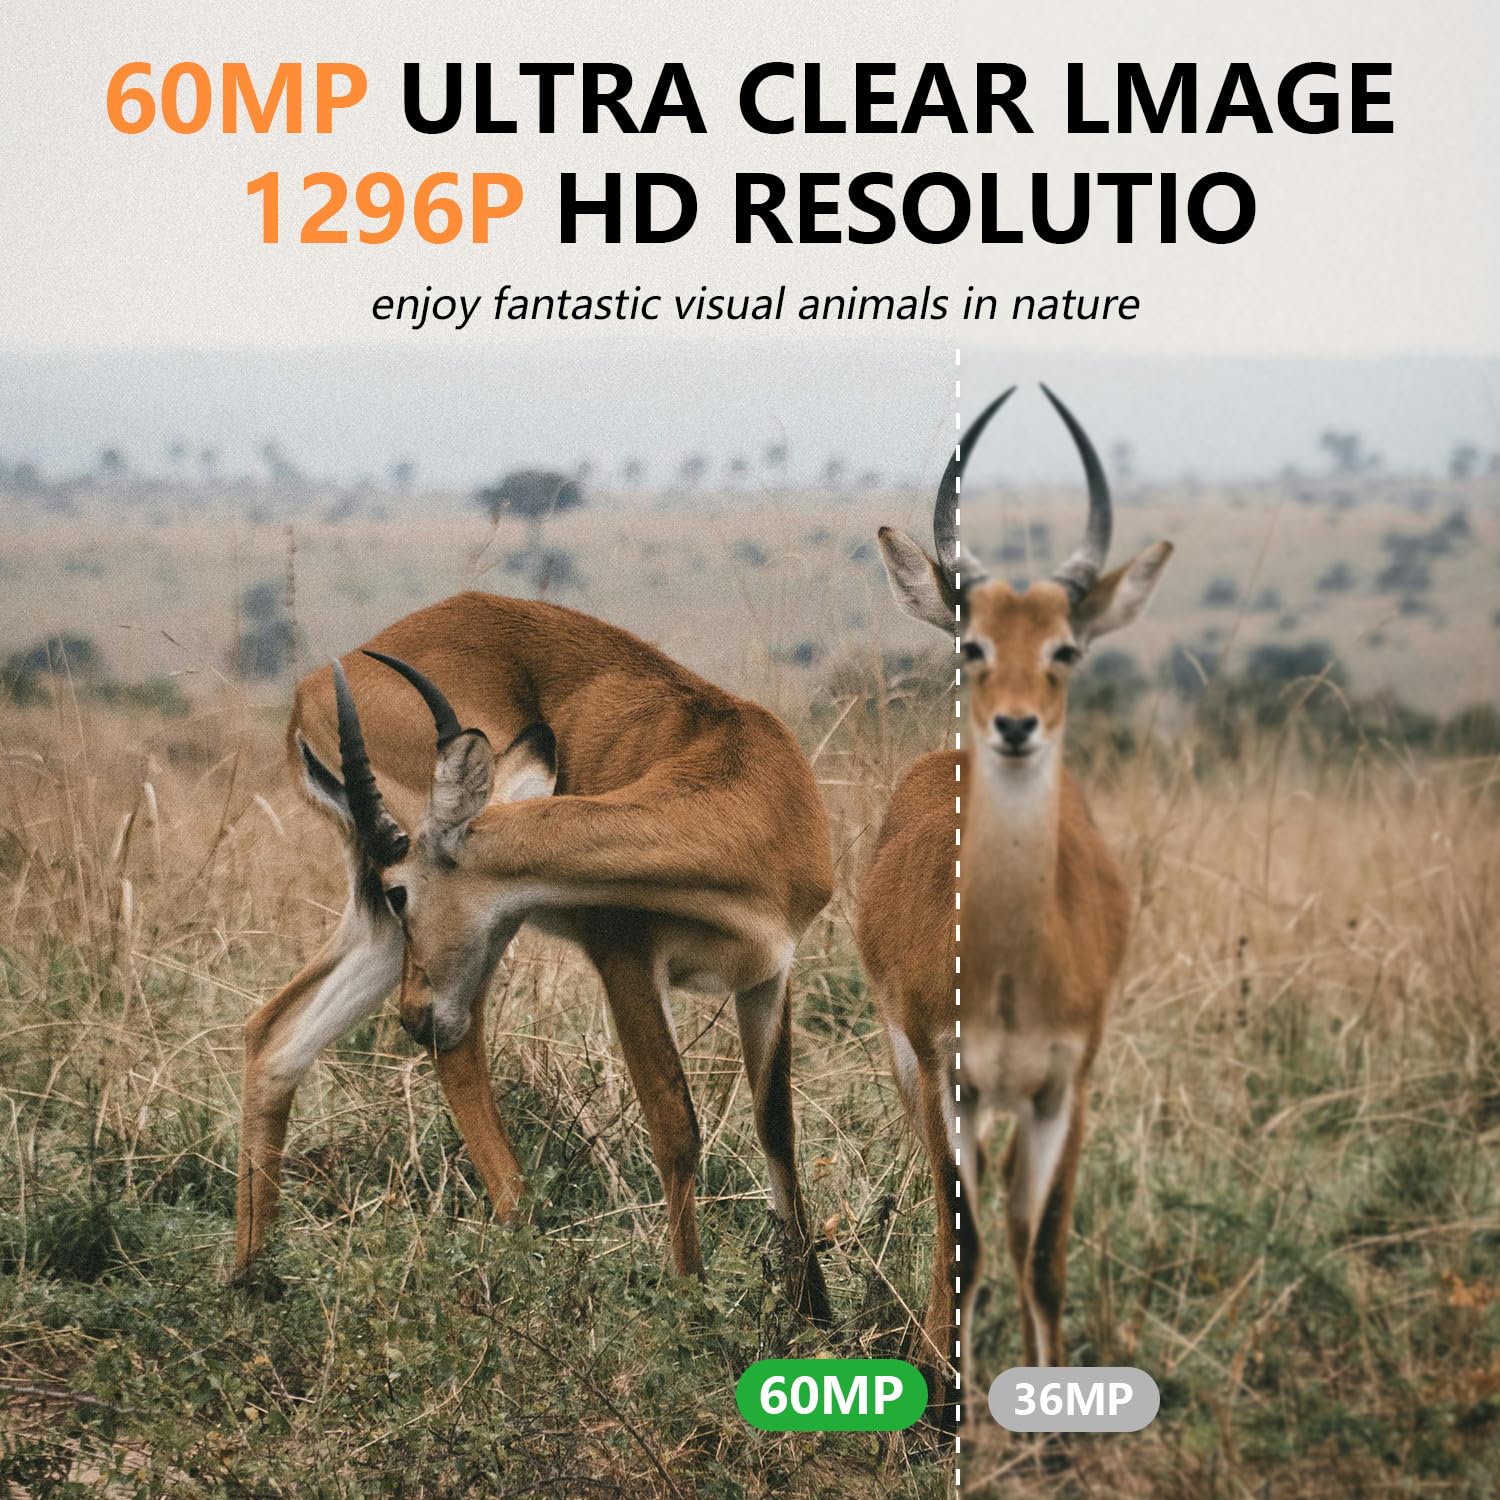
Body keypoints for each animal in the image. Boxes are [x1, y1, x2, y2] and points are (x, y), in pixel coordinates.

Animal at [233, 591, 832, 1322]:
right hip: (475, 939)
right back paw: (528, 1248)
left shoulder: (771, 975)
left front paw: (815, 1317)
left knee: (276, 1034)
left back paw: (249, 1283)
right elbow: (675, 1129)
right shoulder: (625, 962)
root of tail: (312, 686)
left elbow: (777, 1130)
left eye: (403, 892)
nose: (411, 1015)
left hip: (396, 934)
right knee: (459, 1048)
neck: (743, 786)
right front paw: (693, 1310)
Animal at [856, 386, 1172, 1428]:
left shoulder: (1064, 1086)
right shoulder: (944, 1074)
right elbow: (965, 1243)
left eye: (1066, 647)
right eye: (973, 642)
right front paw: (943, 1402)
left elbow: (1040, 1252)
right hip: (914, 1073)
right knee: (947, 1214)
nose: (1017, 726)